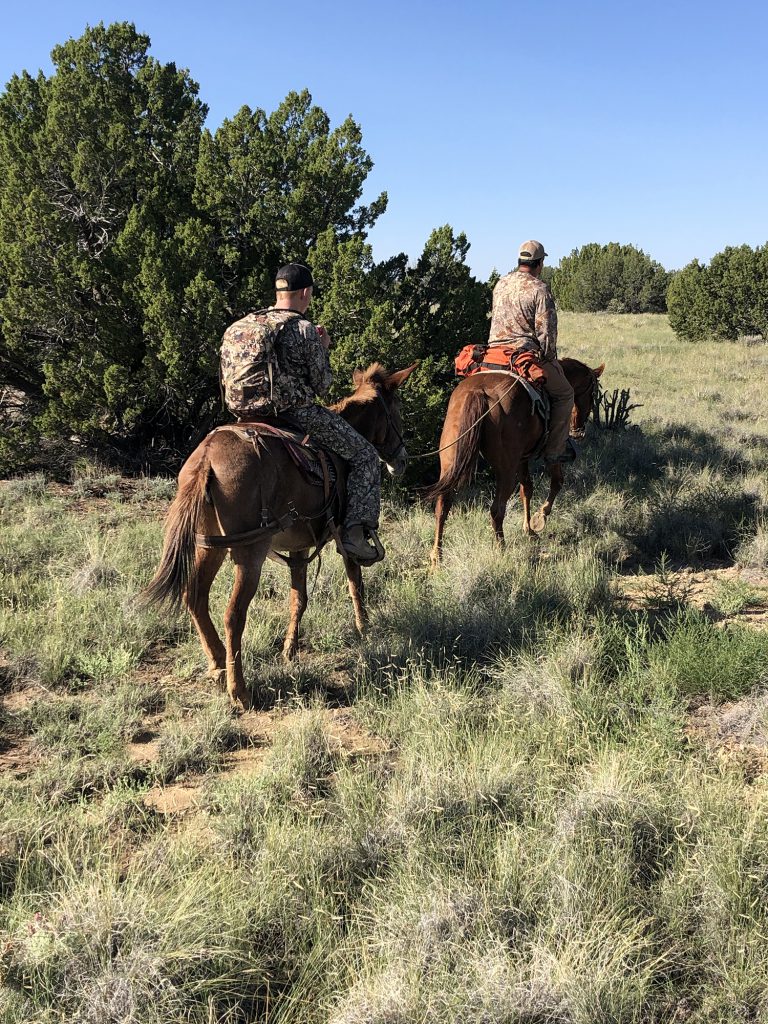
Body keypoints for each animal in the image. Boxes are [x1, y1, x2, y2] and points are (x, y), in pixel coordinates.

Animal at [146, 364, 417, 708]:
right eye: (397, 412)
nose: (402, 460)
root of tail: (207, 457)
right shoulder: (345, 537)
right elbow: (356, 584)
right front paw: (364, 629)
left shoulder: (298, 548)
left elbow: (298, 598)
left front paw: (290, 649)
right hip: (249, 554)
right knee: (233, 614)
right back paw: (239, 690)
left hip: (211, 547)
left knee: (195, 597)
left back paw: (218, 665)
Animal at [428, 358, 606, 569]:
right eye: (593, 394)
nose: (579, 430)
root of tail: (478, 392)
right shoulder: (553, 450)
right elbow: (556, 482)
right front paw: (539, 518)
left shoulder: (522, 459)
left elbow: (526, 489)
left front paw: (529, 529)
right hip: (506, 469)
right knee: (497, 509)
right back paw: (501, 549)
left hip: (451, 462)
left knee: (442, 506)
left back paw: (436, 557)